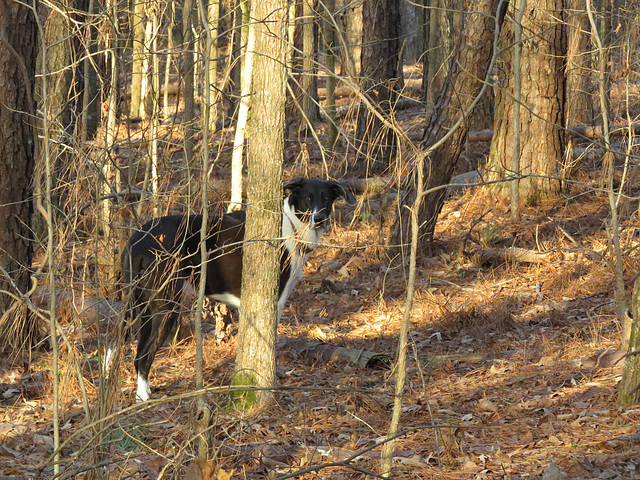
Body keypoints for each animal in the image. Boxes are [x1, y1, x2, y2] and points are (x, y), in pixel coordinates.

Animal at [121, 177, 356, 402]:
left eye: (326, 198)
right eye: (307, 198)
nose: (319, 218)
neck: (292, 225)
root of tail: (136, 241)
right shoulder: (275, 302)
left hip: (144, 307)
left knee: (138, 353)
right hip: (166, 305)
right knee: (144, 355)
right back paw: (142, 397)